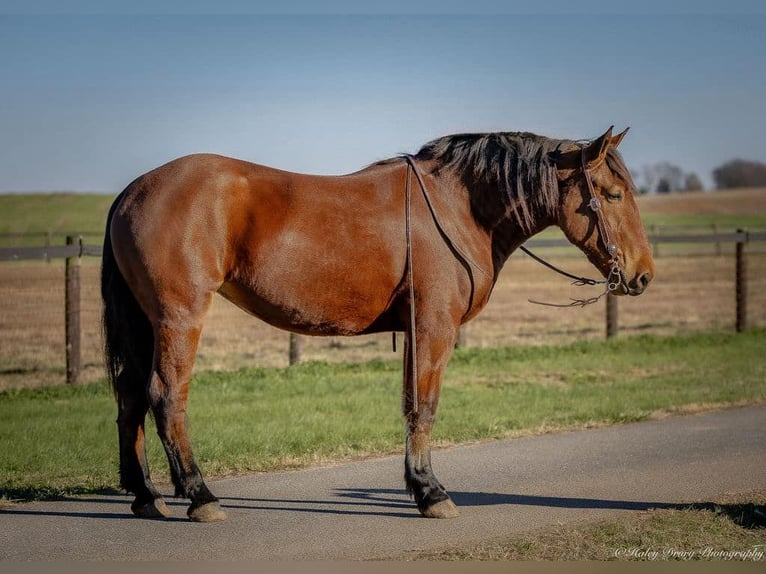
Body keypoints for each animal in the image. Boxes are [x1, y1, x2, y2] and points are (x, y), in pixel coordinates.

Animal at [100, 128, 656, 524]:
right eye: (611, 194)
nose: (642, 274)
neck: (459, 206)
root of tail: (132, 190)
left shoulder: (414, 329)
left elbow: (410, 405)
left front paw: (419, 486)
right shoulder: (434, 326)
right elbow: (424, 408)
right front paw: (431, 492)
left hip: (145, 323)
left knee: (129, 398)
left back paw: (146, 496)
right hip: (179, 318)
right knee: (165, 396)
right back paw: (200, 495)